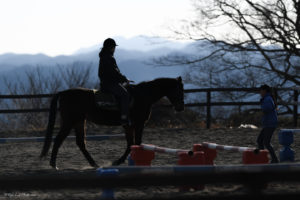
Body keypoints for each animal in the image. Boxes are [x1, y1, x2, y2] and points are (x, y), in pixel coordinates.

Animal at [40, 76, 184, 169]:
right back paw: (54, 165)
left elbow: (131, 144)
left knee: (80, 143)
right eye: (179, 90)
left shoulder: (129, 126)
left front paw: (121, 161)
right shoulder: (138, 124)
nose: (180, 107)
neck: (142, 96)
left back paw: (94, 164)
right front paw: (119, 162)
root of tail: (64, 92)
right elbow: (135, 143)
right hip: (70, 121)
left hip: (79, 121)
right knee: (59, 140)